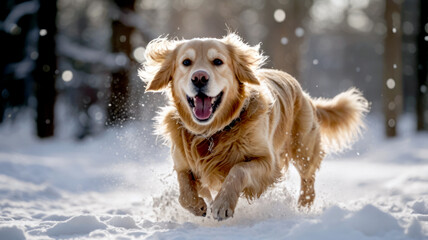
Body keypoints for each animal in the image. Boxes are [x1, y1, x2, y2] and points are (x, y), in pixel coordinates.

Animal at [139, 32, 370, 220]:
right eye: (186, 62)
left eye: (218, 61)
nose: (199, 77)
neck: (212, 132)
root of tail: (306, 95)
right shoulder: (182, 162)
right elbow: (184, 188)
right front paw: (198, 205)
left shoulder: (268, 163)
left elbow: (238, 169)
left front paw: (223, 204)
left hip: (303, 147)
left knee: (308, 177)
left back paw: (303, 206)